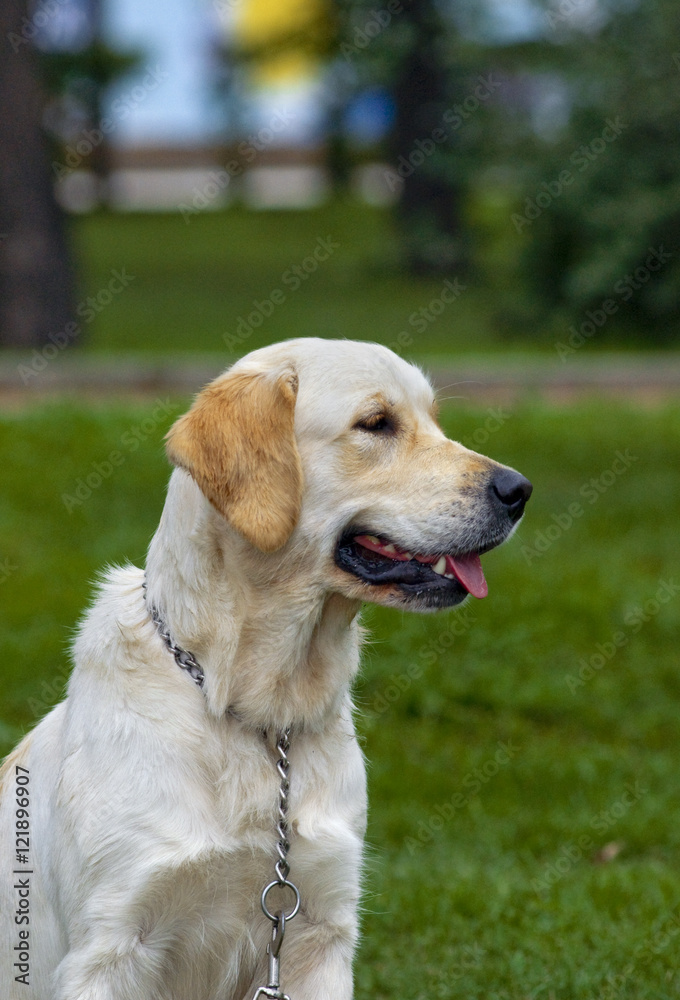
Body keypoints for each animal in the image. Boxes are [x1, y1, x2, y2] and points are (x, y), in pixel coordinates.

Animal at [0, 340, 532, 996]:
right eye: (376, 423)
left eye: (434, 419)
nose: (519, 490)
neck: (258, 710)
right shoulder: (111, 946)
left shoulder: (318, 930)